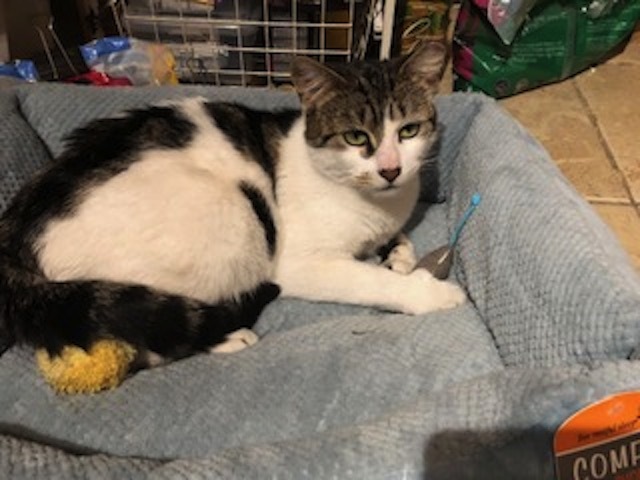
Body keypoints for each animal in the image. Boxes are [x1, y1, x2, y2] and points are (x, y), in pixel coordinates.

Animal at [0, 41, 464, 368]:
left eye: (408, 131)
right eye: (355, 137)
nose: (390, 169)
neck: (375, 203)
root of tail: (17, 234)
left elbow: (398, 242)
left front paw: (400, 255)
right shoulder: (299, 263)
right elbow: (370, 280)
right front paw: (428, 292)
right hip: (234, 215)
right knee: (143, 338)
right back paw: (227, 335)